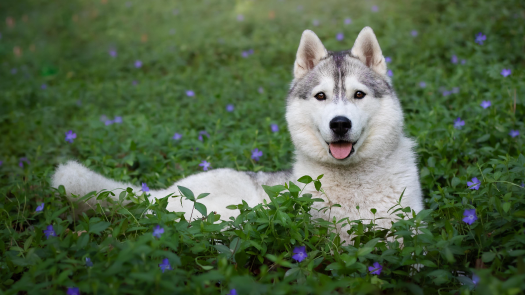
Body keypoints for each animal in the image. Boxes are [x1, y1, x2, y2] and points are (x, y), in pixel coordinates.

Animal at [52, 27, 422, 240]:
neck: (355, 187)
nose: (340, 124)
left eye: (359, 94)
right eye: (321, 96)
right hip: (233, 212)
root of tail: (156, 195)